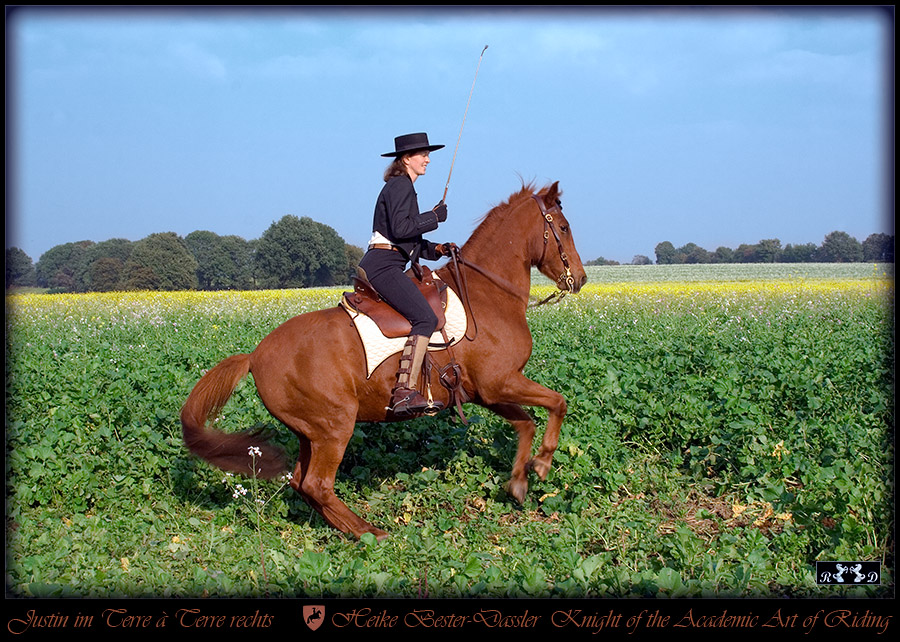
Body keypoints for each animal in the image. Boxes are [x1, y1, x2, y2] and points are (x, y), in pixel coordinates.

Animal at [184, 180, 592, 536]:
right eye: (564, 227)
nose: (581, 278)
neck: (487, 294)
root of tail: (255, 354)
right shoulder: (501, 382)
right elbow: (558, 402)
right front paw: (542, 463)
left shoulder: (486, 392)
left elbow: (526, 424)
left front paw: (519, 481)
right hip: (334, 426)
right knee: (318, 484)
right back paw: (370, 533)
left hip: (308, 432)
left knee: (302, 483)